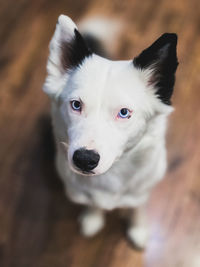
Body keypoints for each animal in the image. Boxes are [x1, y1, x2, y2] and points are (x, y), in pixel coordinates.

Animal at [43, 14, 178, 249]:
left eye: (124, 113)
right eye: (76, 105)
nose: (84, 159)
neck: (112, 172)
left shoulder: (142, 190)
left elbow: (137, 207)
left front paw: (138, 228)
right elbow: (92, 203)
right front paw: (93, 217)